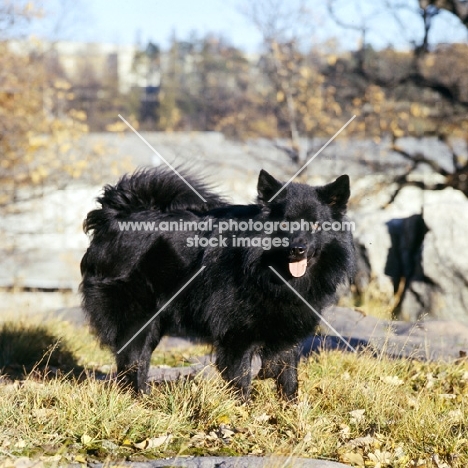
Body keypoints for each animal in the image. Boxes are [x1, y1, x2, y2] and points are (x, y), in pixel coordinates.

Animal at [80, 168, 354, 398]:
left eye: (315, 225)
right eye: (285, 224)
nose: (298, 249)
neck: (267, 271)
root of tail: (117, 214)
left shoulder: (287, 334)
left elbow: (289, 378)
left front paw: (289, 409)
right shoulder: (237, 335)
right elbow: (241, 378)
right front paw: (243, 411)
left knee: (140, 359)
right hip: (138, 317)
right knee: (133, 359)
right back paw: (141, 400)